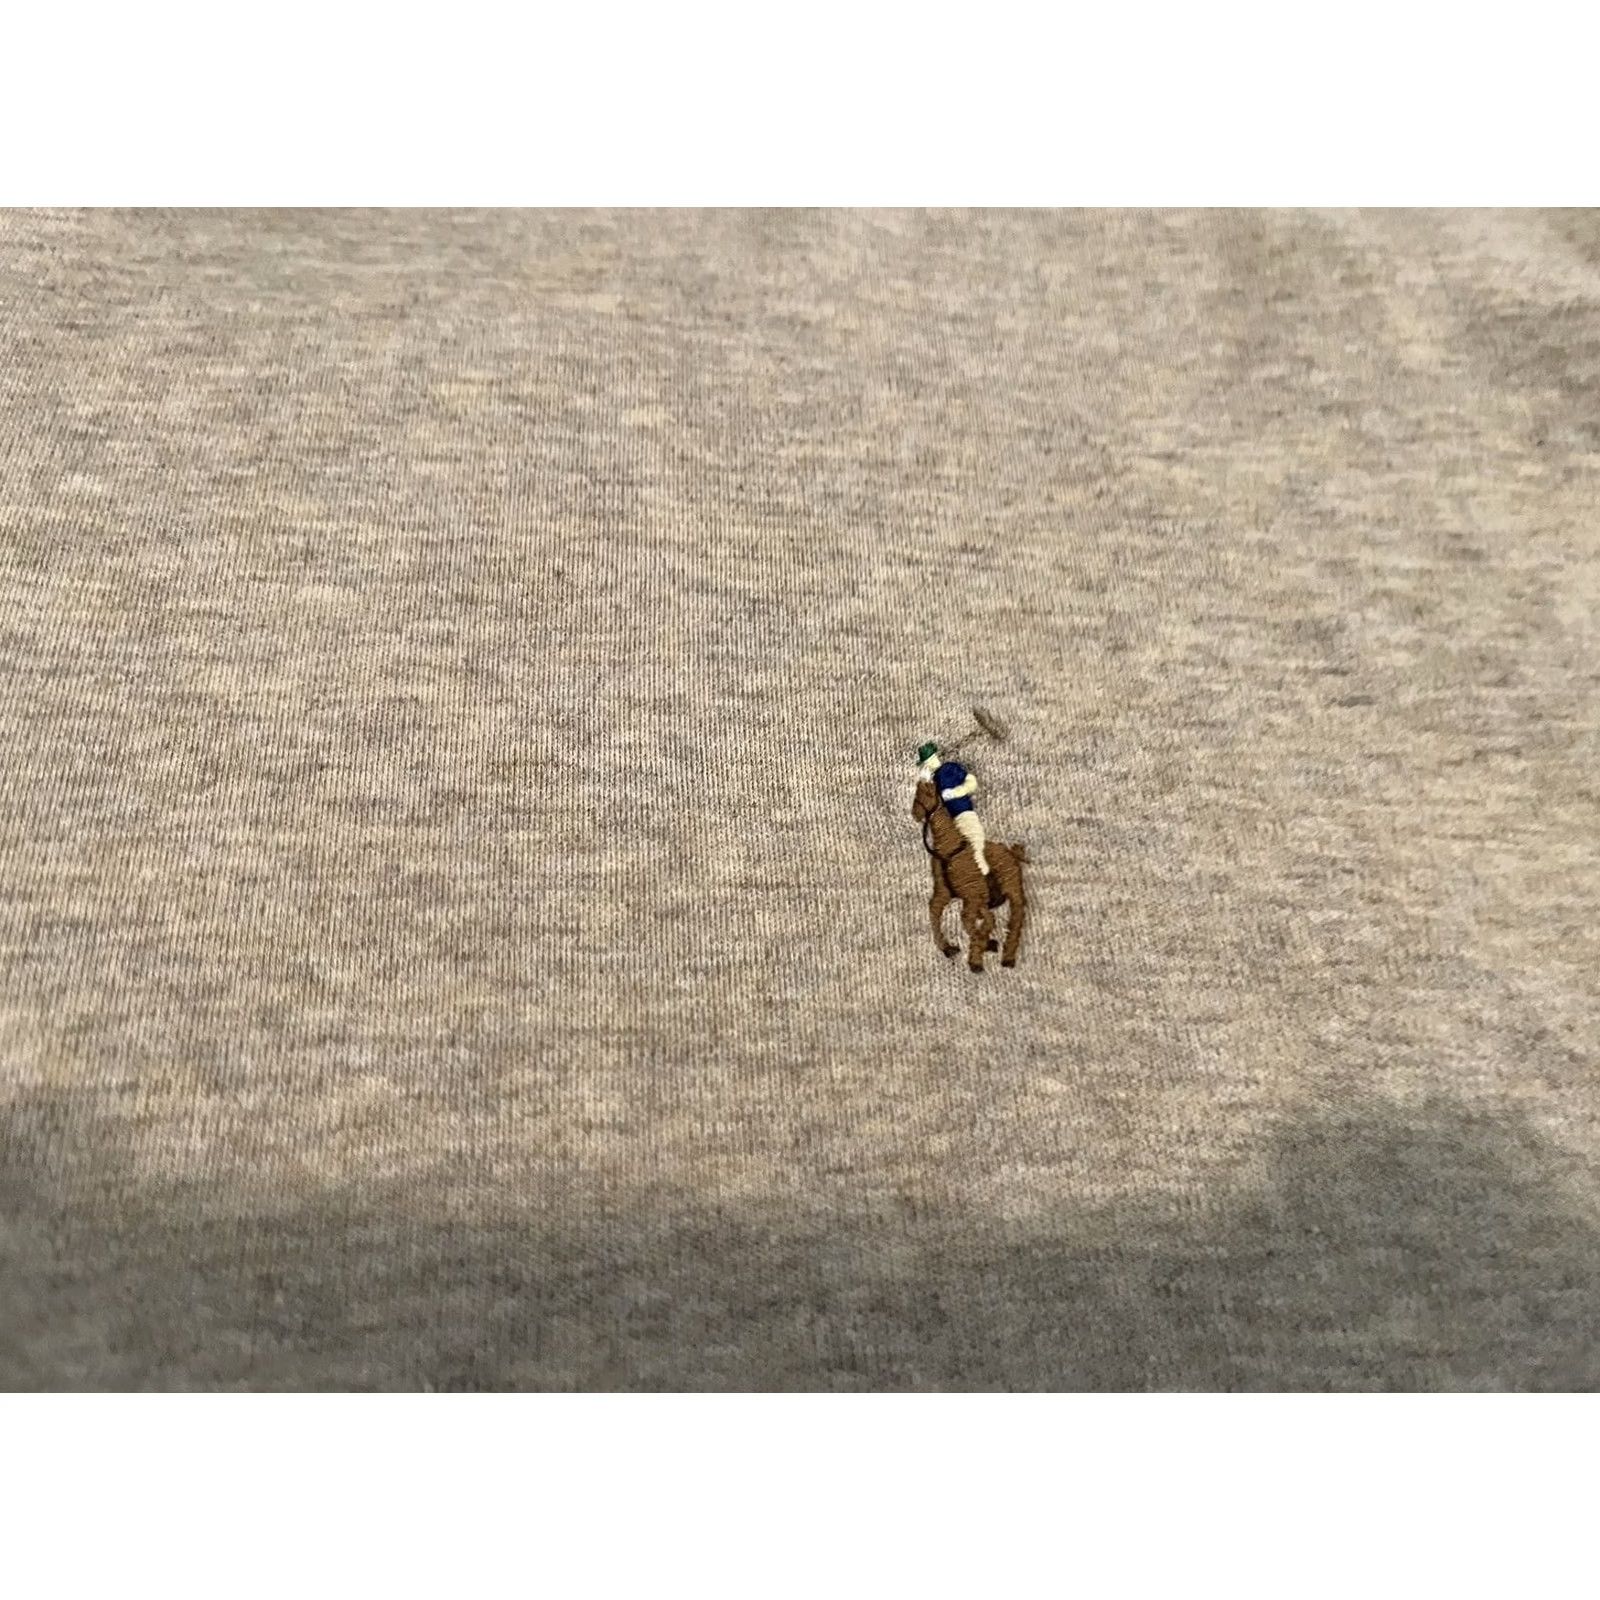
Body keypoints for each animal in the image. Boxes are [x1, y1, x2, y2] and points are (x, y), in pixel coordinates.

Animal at [912, 780, 1028, 972]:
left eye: (925, 794)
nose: (915, 814)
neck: (950, 849)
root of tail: (1012, 852)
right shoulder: (947, 894)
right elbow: (937, 911)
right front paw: (950, 948)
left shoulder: (972, 895)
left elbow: (971, 920)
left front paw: (977, 958)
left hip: (1013, 889)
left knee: (1016, 917)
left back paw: (1008, 958)